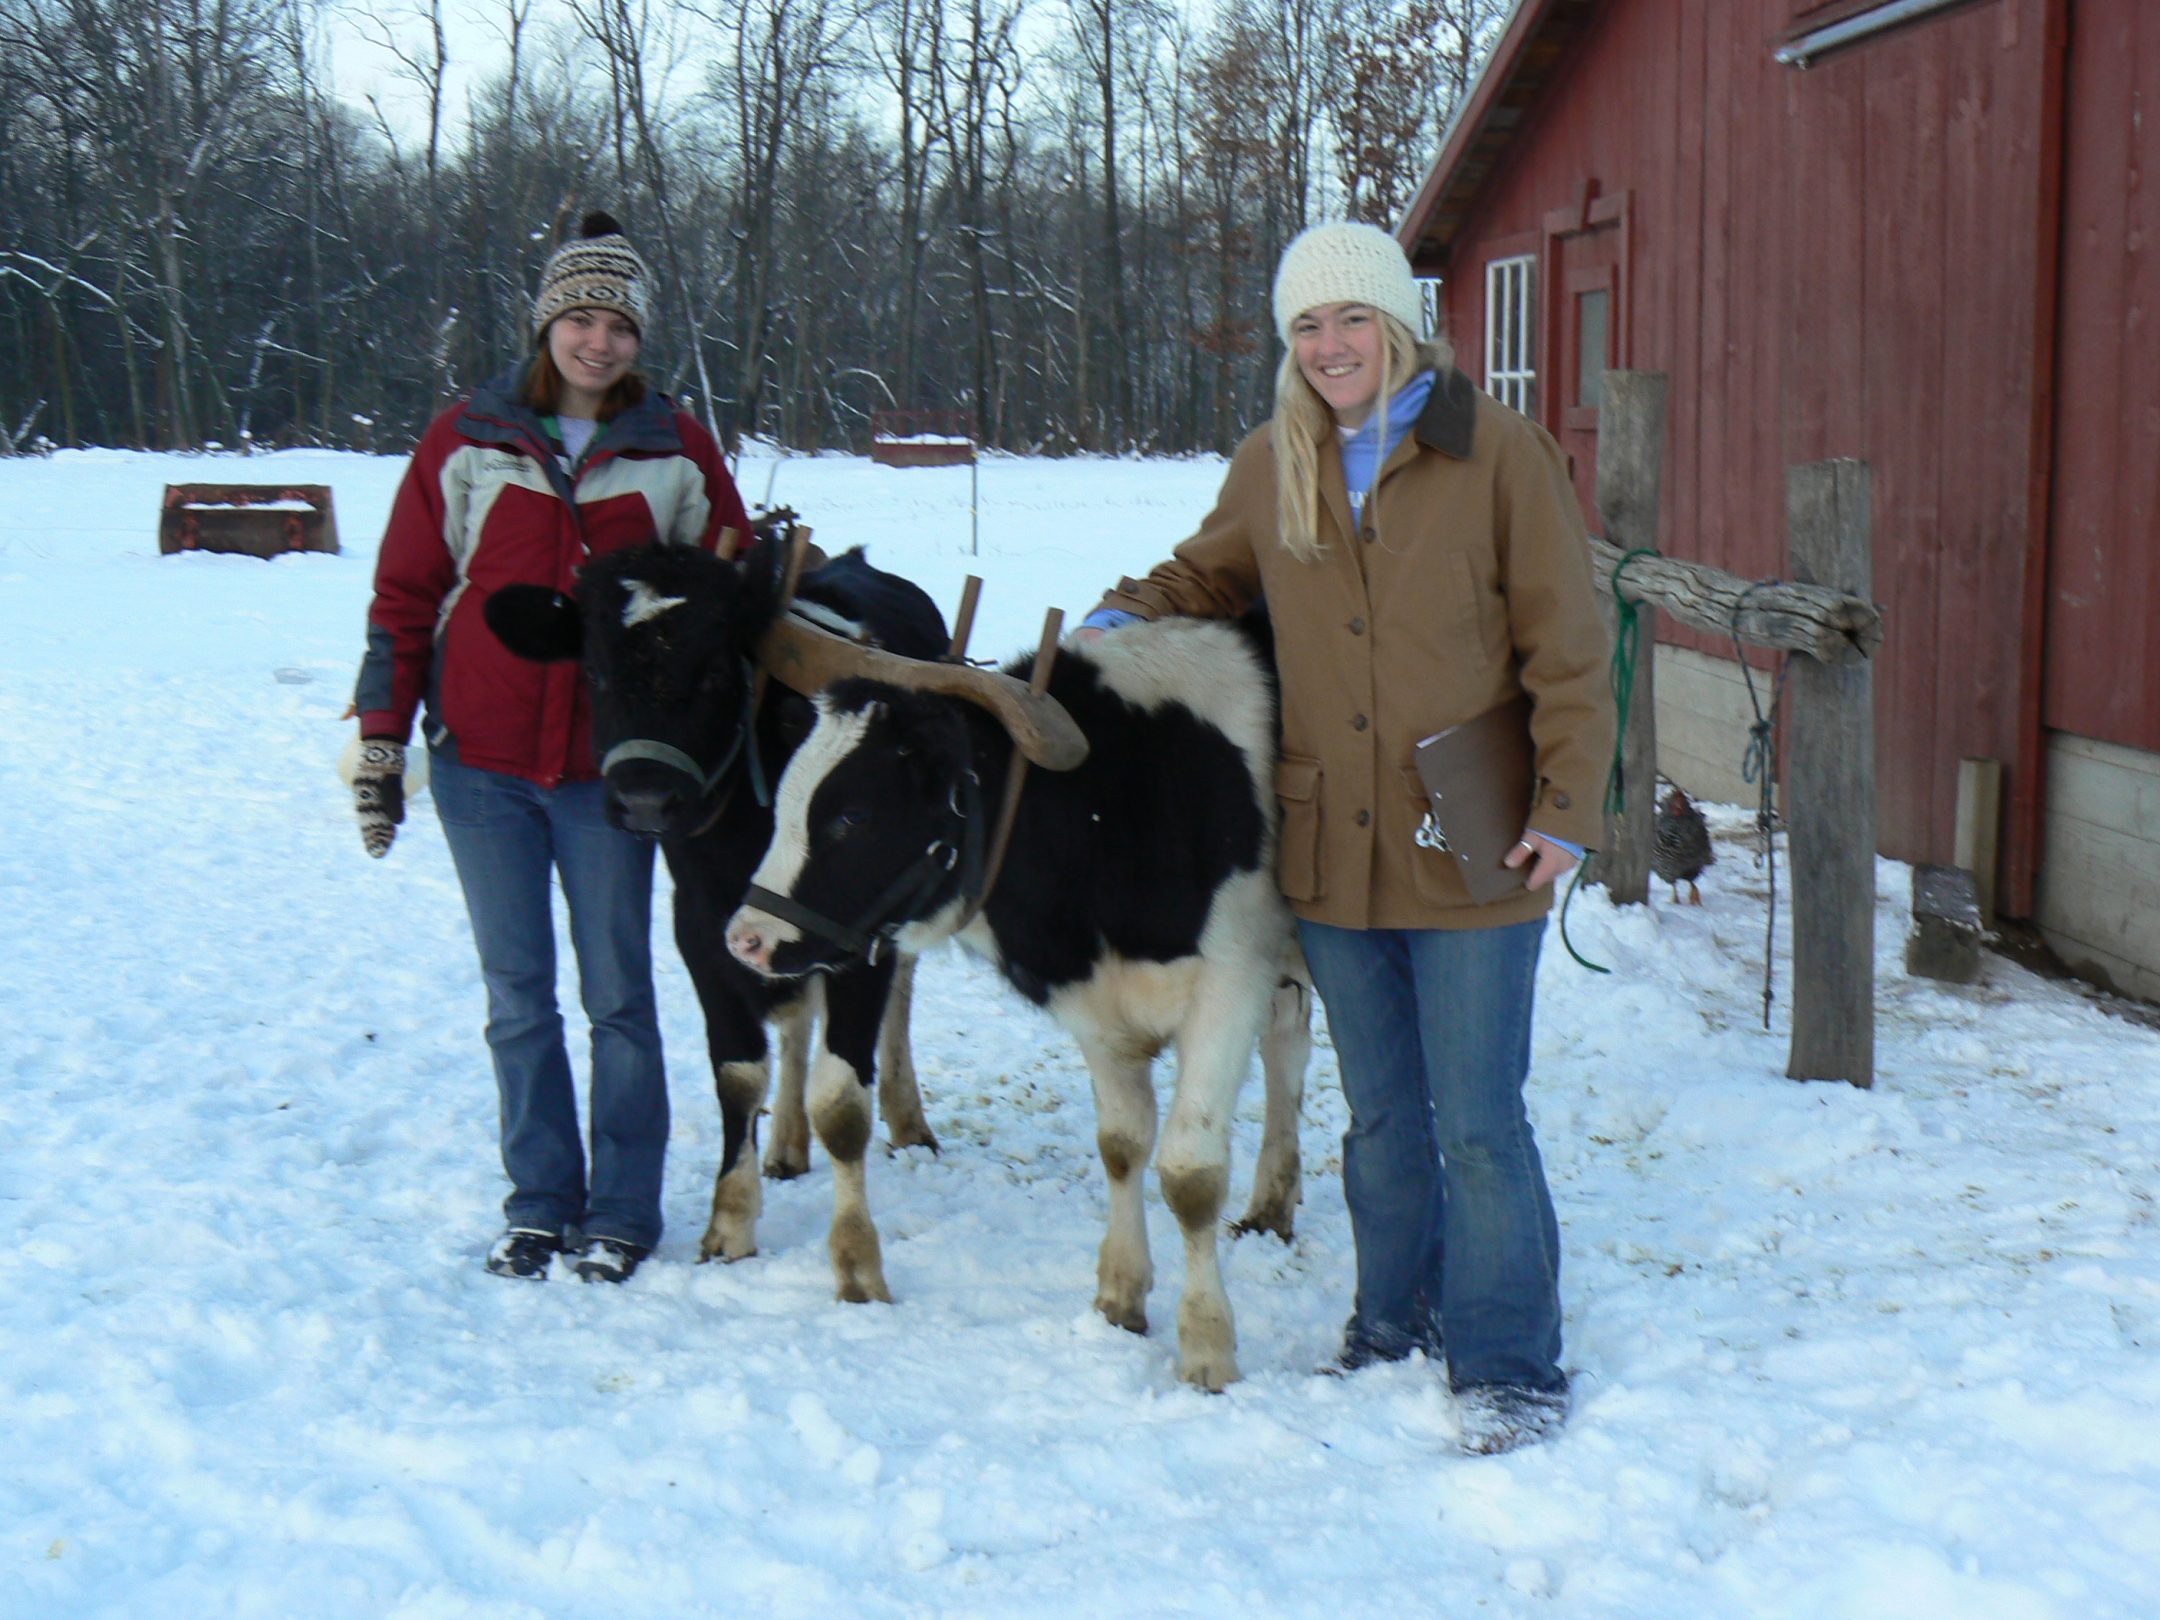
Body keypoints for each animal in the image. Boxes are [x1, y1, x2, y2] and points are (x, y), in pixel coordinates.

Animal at [484, 536, 949, 1302]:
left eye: (712, 673)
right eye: (595, 673)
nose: (644, 800)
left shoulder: (861, 938)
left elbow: (842, 1103)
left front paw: (857, 1263)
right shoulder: (701, 931)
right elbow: (738, 1076)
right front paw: (729, 1226)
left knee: (898, 1003)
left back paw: (908, 1119)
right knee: (793, 1022)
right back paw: (785, 1142)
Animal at [723, 614, 1312, 1390]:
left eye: (851, 817)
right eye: (784, 799)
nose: (746, 938)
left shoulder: (1230, 985)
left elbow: (1190, 1174)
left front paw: (1207, 1346)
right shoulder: (1098, 1008)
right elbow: (1123, 1145)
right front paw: (1120, 1295)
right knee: (1289, 1042)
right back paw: (1272, 1204)